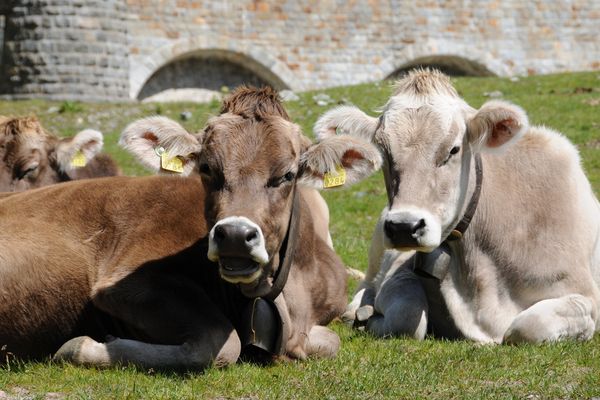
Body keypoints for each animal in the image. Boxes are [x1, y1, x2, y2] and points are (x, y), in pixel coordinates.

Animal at [0, 86, 382, 368]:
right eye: (208, 169)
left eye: (287, 175)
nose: (234, 236)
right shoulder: (124, 284)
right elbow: (221, 344)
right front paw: (81, 345)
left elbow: (330, 341)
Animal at [316, 69, 600, 344]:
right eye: (384, 151)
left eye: (453, 149)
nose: (403, 227)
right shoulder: (400, 269)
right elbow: (406, 315)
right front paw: (368, 319)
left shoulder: (585, 297)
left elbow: (527, 327)